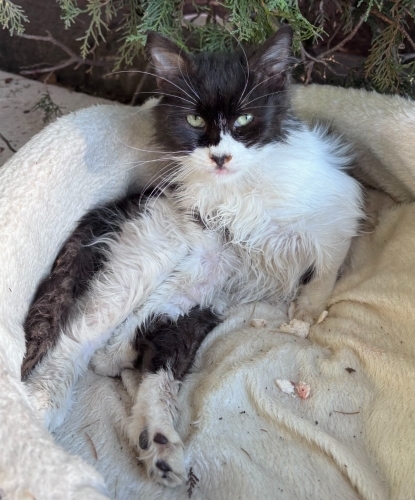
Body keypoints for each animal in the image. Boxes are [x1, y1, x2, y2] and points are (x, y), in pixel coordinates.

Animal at [23, 25, 363, 487]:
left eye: (243, 120)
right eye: (195, 121)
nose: (220, 156)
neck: (240, 189)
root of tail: (108, 209)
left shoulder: (336, 212)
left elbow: (326, 267)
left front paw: (306, 314)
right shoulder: (199, 236)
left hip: (197, 296)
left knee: (151, 358)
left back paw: (158, 441)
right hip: (147, 256)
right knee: (83, 336)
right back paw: (45, 400)